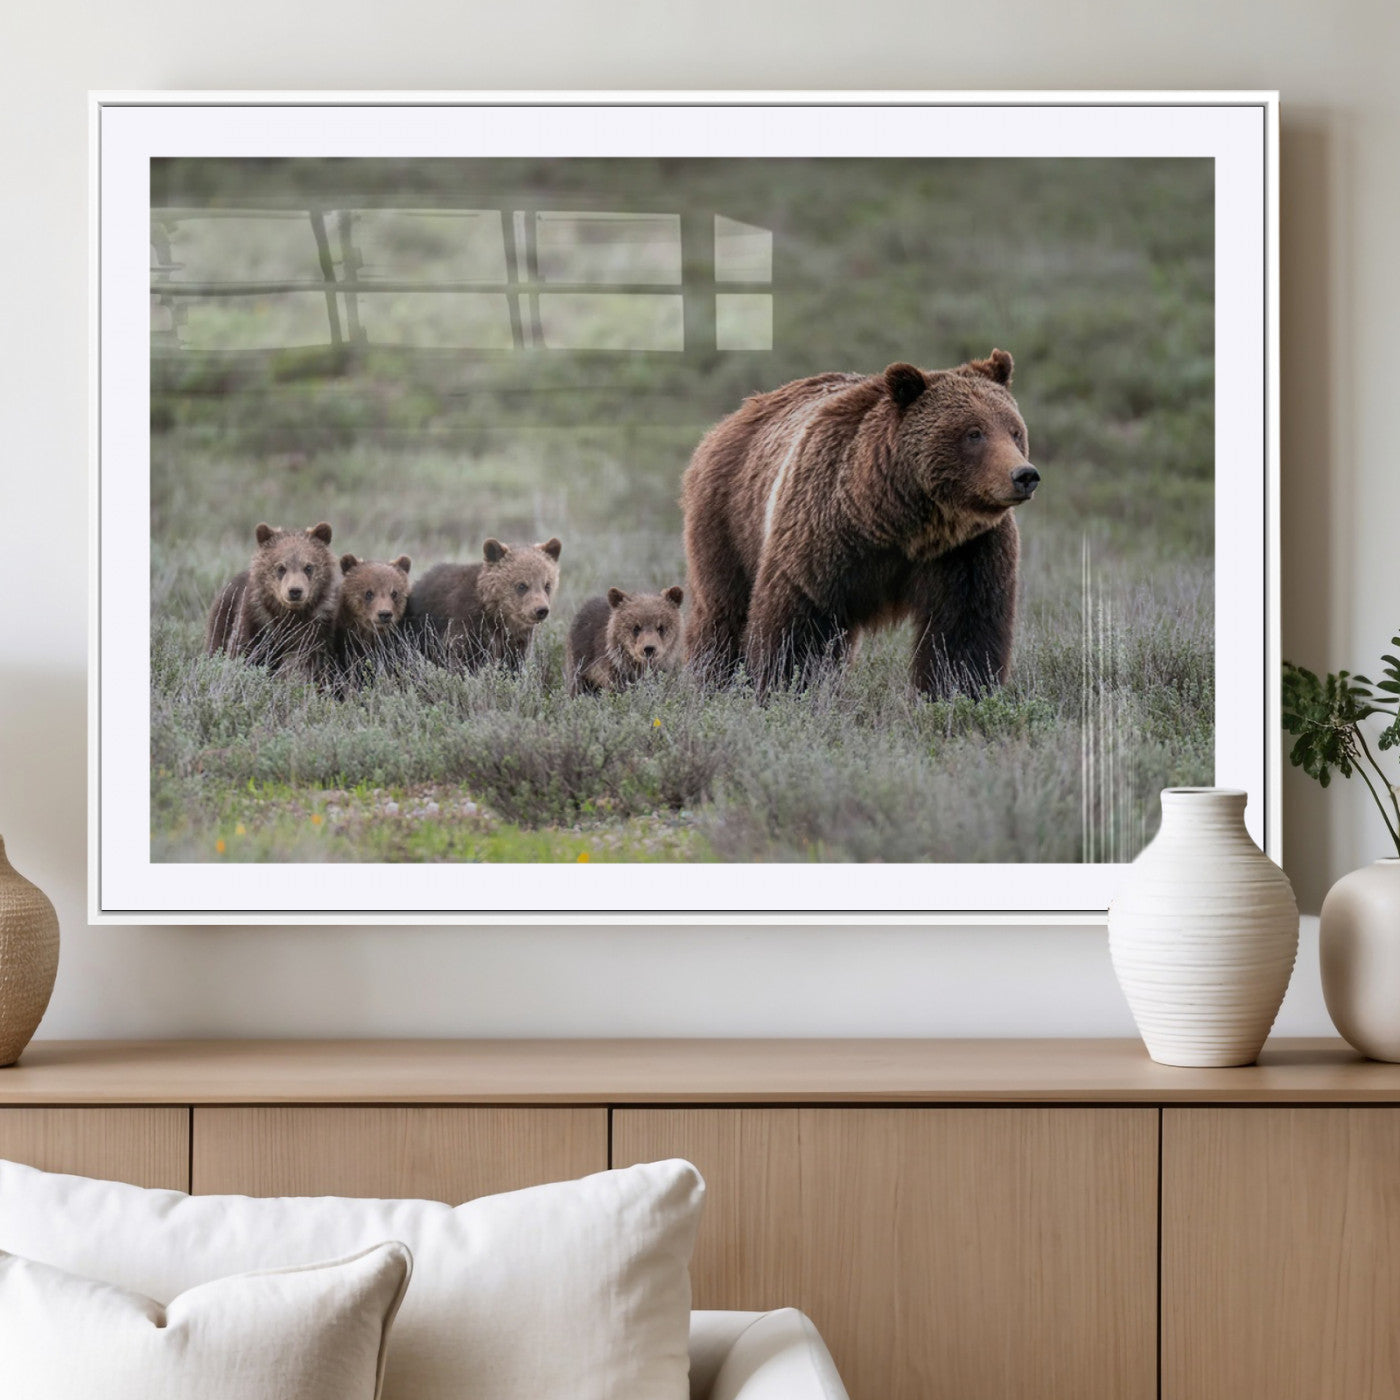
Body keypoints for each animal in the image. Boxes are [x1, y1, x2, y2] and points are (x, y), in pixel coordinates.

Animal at [205, 521, 339, 679]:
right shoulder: (256, 619)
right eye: (281, 567)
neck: (289, 614)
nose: (295, 591)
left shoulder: (316, 626)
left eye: (308, 567)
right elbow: (242, 649)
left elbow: (307, 660)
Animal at [406, 537, 562, 671]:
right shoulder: (466, 624)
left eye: (547, 585)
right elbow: (461, 658)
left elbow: (514, 663)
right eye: (522, 585)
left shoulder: (517, 639)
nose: (541, 610)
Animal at [680, 350, 1039, 697]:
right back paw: (712, 678)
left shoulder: (966, 549)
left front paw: (959, 691)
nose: (1024, 475)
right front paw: (784, 687)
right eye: (974, 433)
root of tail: (731, 419)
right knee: (723, 610)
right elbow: (797, 621)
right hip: (729, 518)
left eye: (1015, 431)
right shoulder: (823, 534)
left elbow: (965, 629)